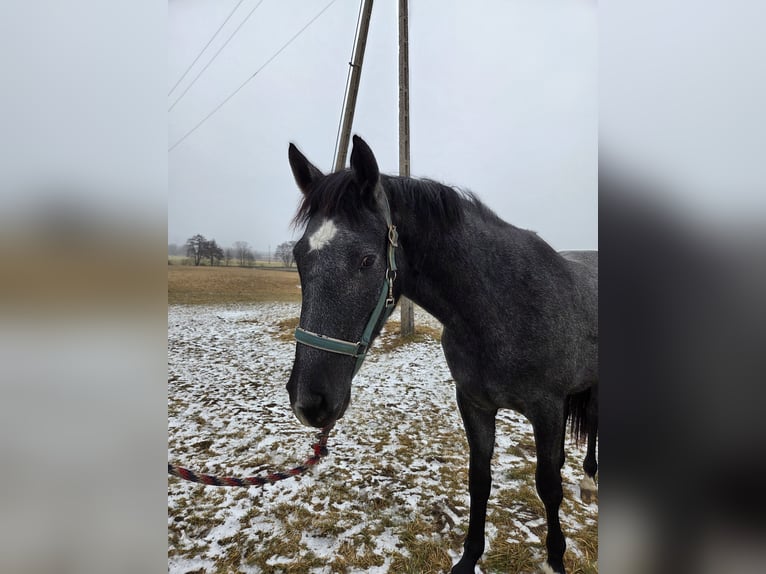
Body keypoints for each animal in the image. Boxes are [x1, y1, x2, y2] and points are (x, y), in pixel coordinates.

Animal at [285, 135, 598, 574]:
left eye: (366, 260)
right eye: (299, 256)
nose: (308, 402)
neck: (501, 304)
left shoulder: (548, 409)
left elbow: (549, 487)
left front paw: (555, 558)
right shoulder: (474, 404)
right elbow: (479, 480)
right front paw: (468, 558)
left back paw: (589, 480)